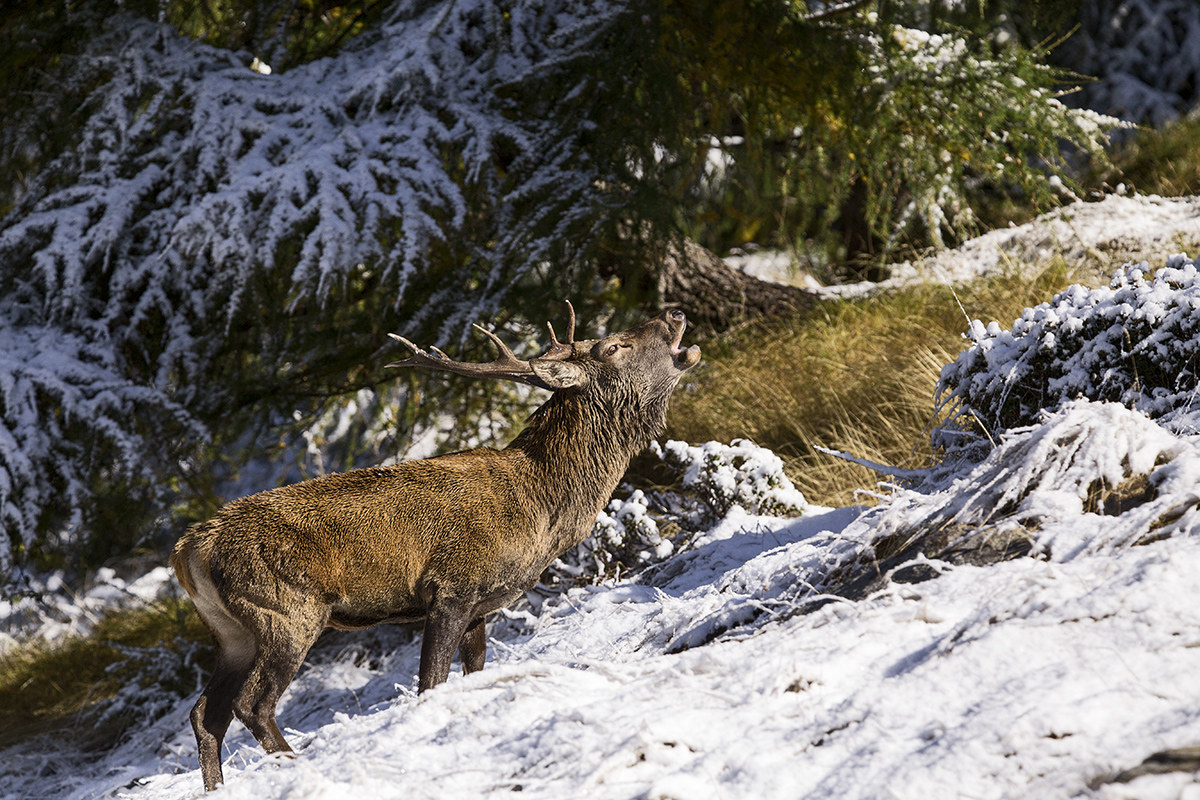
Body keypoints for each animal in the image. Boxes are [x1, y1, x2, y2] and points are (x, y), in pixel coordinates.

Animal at [170, 304, 701, 790]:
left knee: (206, 713)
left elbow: (471, 674)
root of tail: (189, 549)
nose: (674, 313)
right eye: (613, 346)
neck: (545, 508)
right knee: (252, 704)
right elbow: (431, 683)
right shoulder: (451, 587)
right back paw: (297, 765)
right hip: (287, 611)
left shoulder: (482, 604)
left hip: (234, 632)